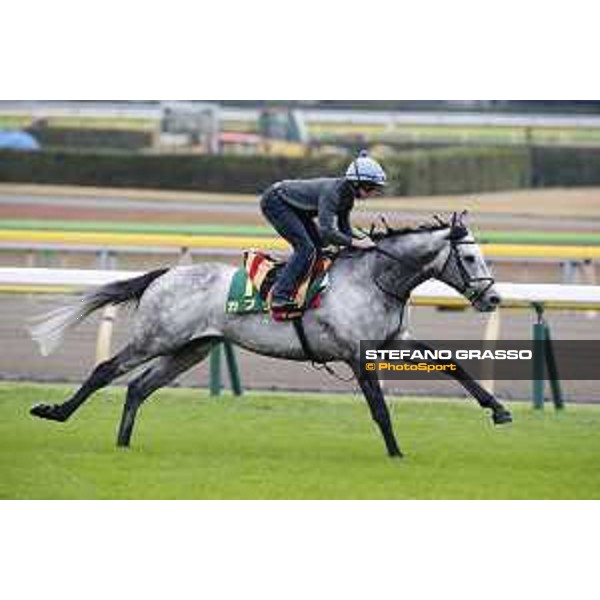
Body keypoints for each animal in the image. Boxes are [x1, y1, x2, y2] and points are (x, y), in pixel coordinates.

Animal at [30, 213, 510, 458]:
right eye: (470, 257)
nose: (493, 298)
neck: (374, 278)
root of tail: (164, 274)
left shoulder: (395, 340)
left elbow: (451, 364)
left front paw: (499, 410)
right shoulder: (356, 354)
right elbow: (379, 407)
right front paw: (396, 454)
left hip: (190, 348)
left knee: (137, 387)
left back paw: (124, 444)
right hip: (157, 337)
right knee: (106, 369)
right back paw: (54, 412)